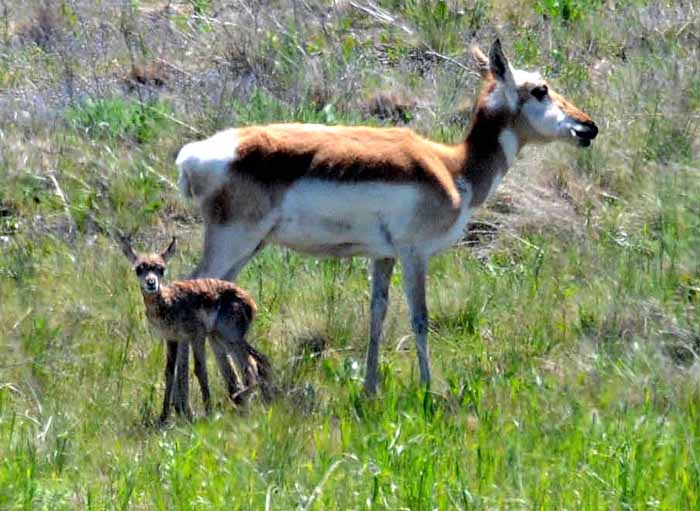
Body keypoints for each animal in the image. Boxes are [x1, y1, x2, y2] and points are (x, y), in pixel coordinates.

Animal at [174, 42, 596, 398]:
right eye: (540, 89)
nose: (588, 126)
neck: (451, 167)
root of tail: (193, 156)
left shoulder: (383, 256)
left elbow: (377, 313)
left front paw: (370, 388)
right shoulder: (414, 254)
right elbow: (420, 317)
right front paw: (428, 389)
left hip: (247, 247)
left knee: (215, 299)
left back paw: (231, 394)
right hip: (234, 241)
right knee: (188, 292)